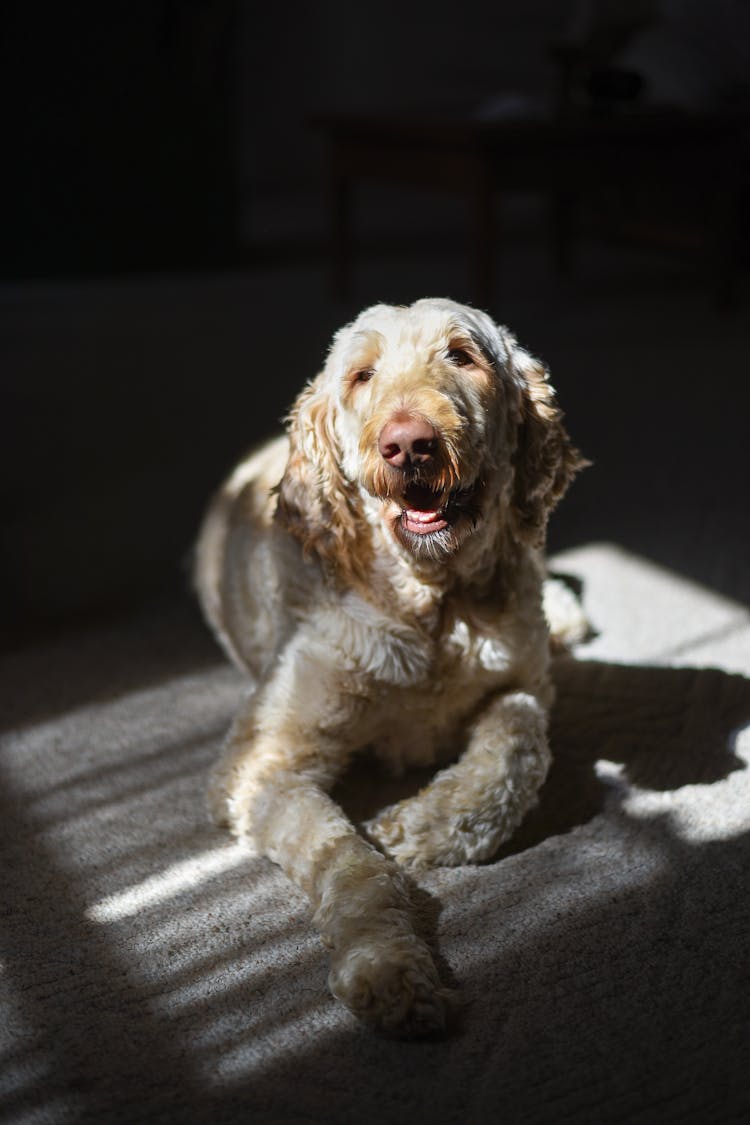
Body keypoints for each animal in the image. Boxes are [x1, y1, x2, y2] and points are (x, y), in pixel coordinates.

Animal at [196, 299, 589, 1035]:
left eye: (462, 355)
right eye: (362, 375)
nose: (409, 444)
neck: (427, 602)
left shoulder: (522, 682)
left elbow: (520, 747)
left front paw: (425, 827)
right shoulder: (262, 765)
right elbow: (347, 859)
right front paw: (387, 966)